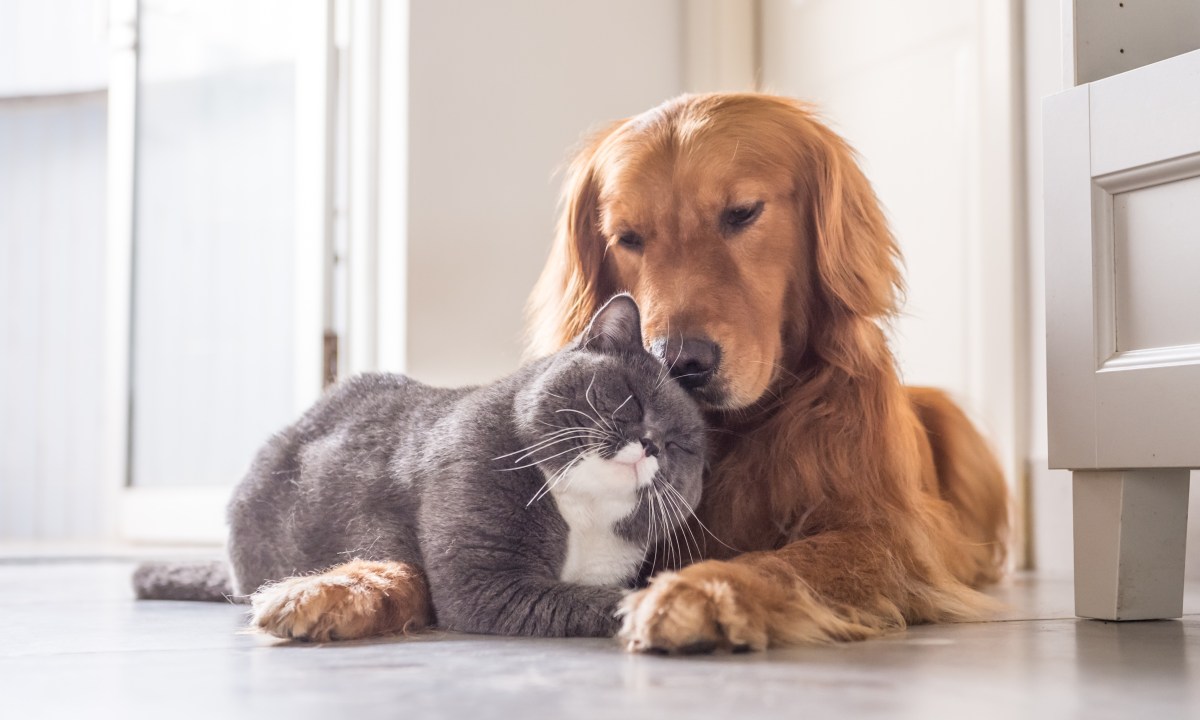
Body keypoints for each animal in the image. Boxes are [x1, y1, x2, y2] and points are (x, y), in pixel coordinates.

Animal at [133, 295, 700, 638]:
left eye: (682, 446)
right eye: (630, 399)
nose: (651, 444)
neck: (580, 514)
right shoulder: (485, 582)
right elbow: (597, 599)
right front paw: (659, 606)